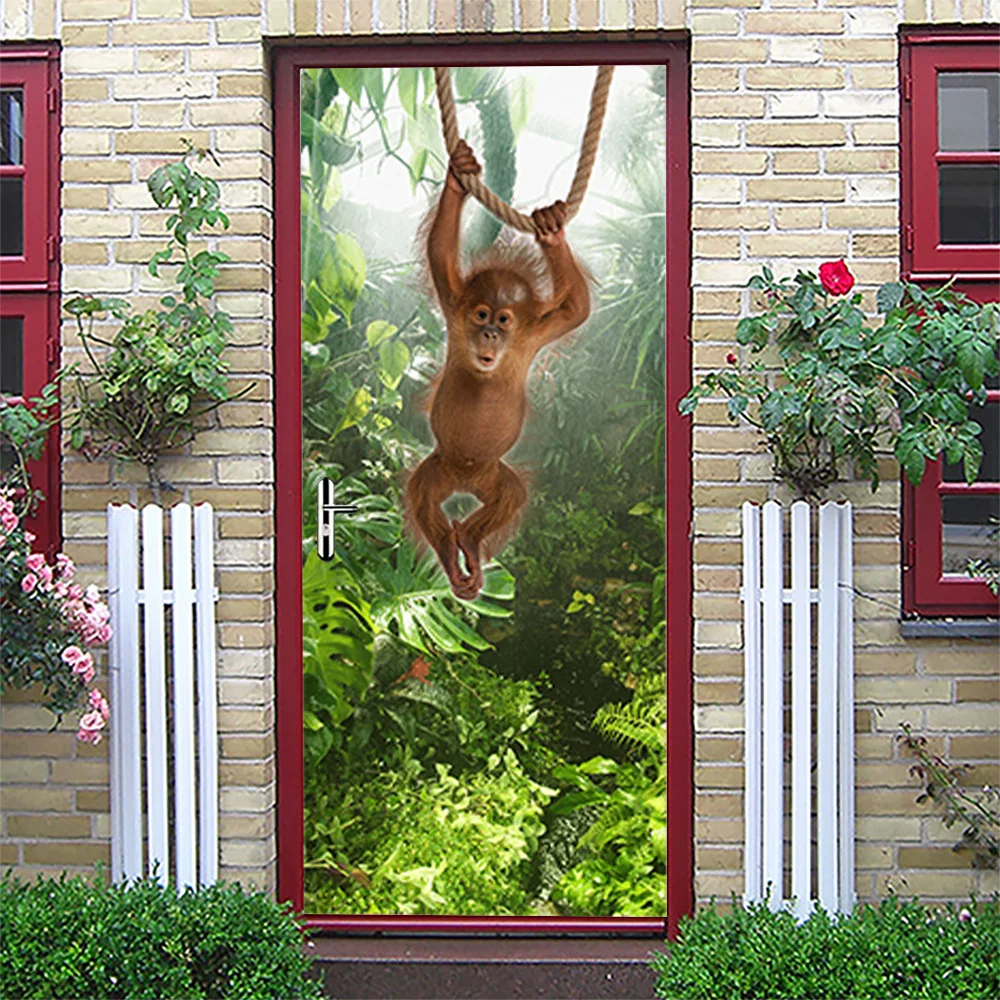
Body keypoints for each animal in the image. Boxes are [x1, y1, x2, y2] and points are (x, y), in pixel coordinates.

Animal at [406, 140, 591, 600]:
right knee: (424, 498)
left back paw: (470, 543)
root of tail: (465, 480)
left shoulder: (538, 332)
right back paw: (453, 558)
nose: (489, 333)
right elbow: (440, 250)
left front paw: (551, 230)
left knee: (509, 498)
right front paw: (459, 177)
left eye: (504, 320)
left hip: (493, 477)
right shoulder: (454, 304)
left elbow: (578, 307)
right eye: (481, 314)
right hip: (439, 467)